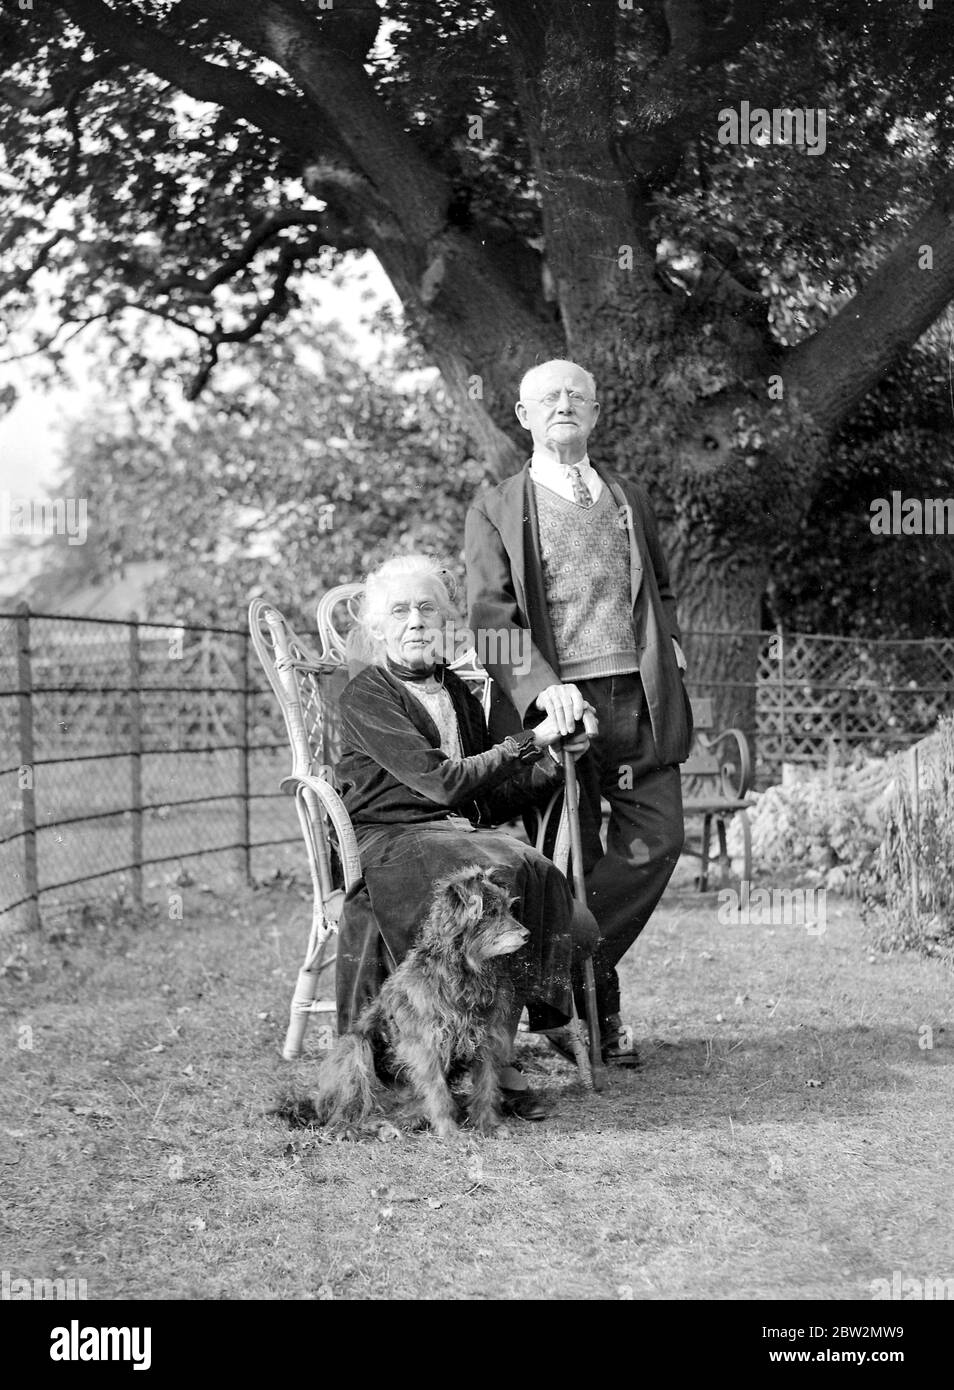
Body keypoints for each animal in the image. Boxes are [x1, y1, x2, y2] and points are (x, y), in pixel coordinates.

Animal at [315, 867, 531, 1139]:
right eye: (491, 913)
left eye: (508, 908)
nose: (527, 935)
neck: (465, 974)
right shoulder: (426, 1046)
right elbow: (438, 1093)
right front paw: (450, 1131)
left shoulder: (485, 1041)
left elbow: (486, 1086)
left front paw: (488, 1124)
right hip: (356, 1047)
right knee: (351, 1111)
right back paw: (363, 1127)